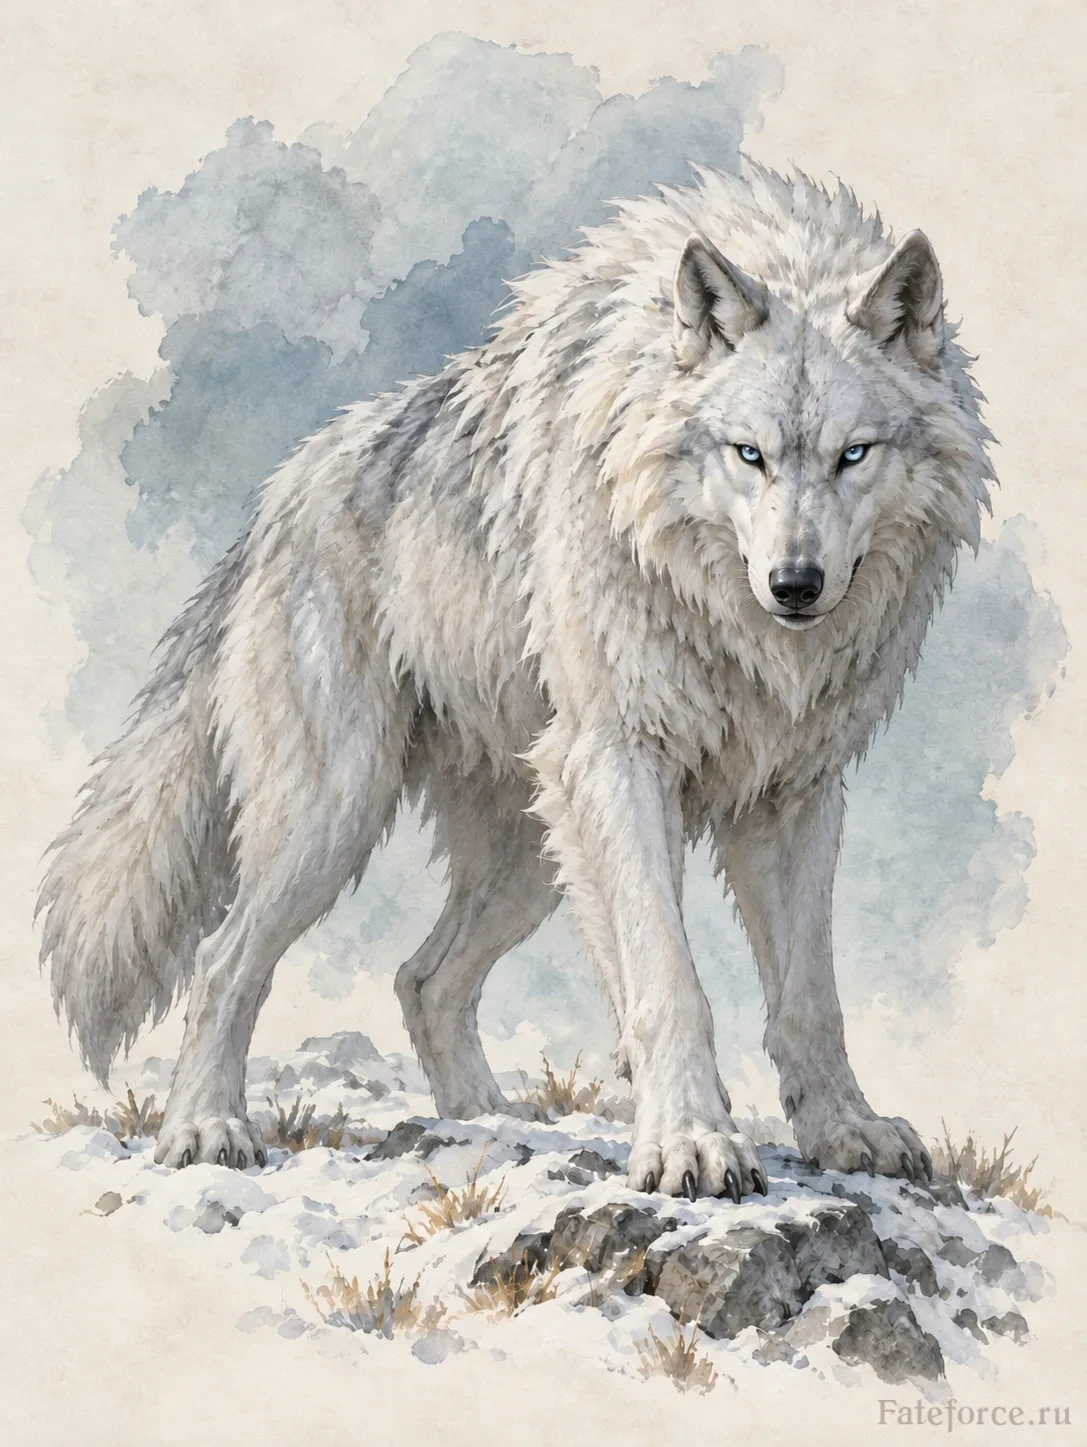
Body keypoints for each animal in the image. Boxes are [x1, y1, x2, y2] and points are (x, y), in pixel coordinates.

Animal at [38, 161, 993, 1201]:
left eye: (852, 454)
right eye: (750, 454)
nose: (794, 583)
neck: (738, 632)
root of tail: (278, 494)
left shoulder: (795, 793)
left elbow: (809, 997)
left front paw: (843, 1130)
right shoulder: (618, 762)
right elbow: (668, 982)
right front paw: (690, 1141)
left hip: (530, 851)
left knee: (423, 978)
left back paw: (489, 1126)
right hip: (337, 816)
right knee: (223, 961)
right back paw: (206, 1128)